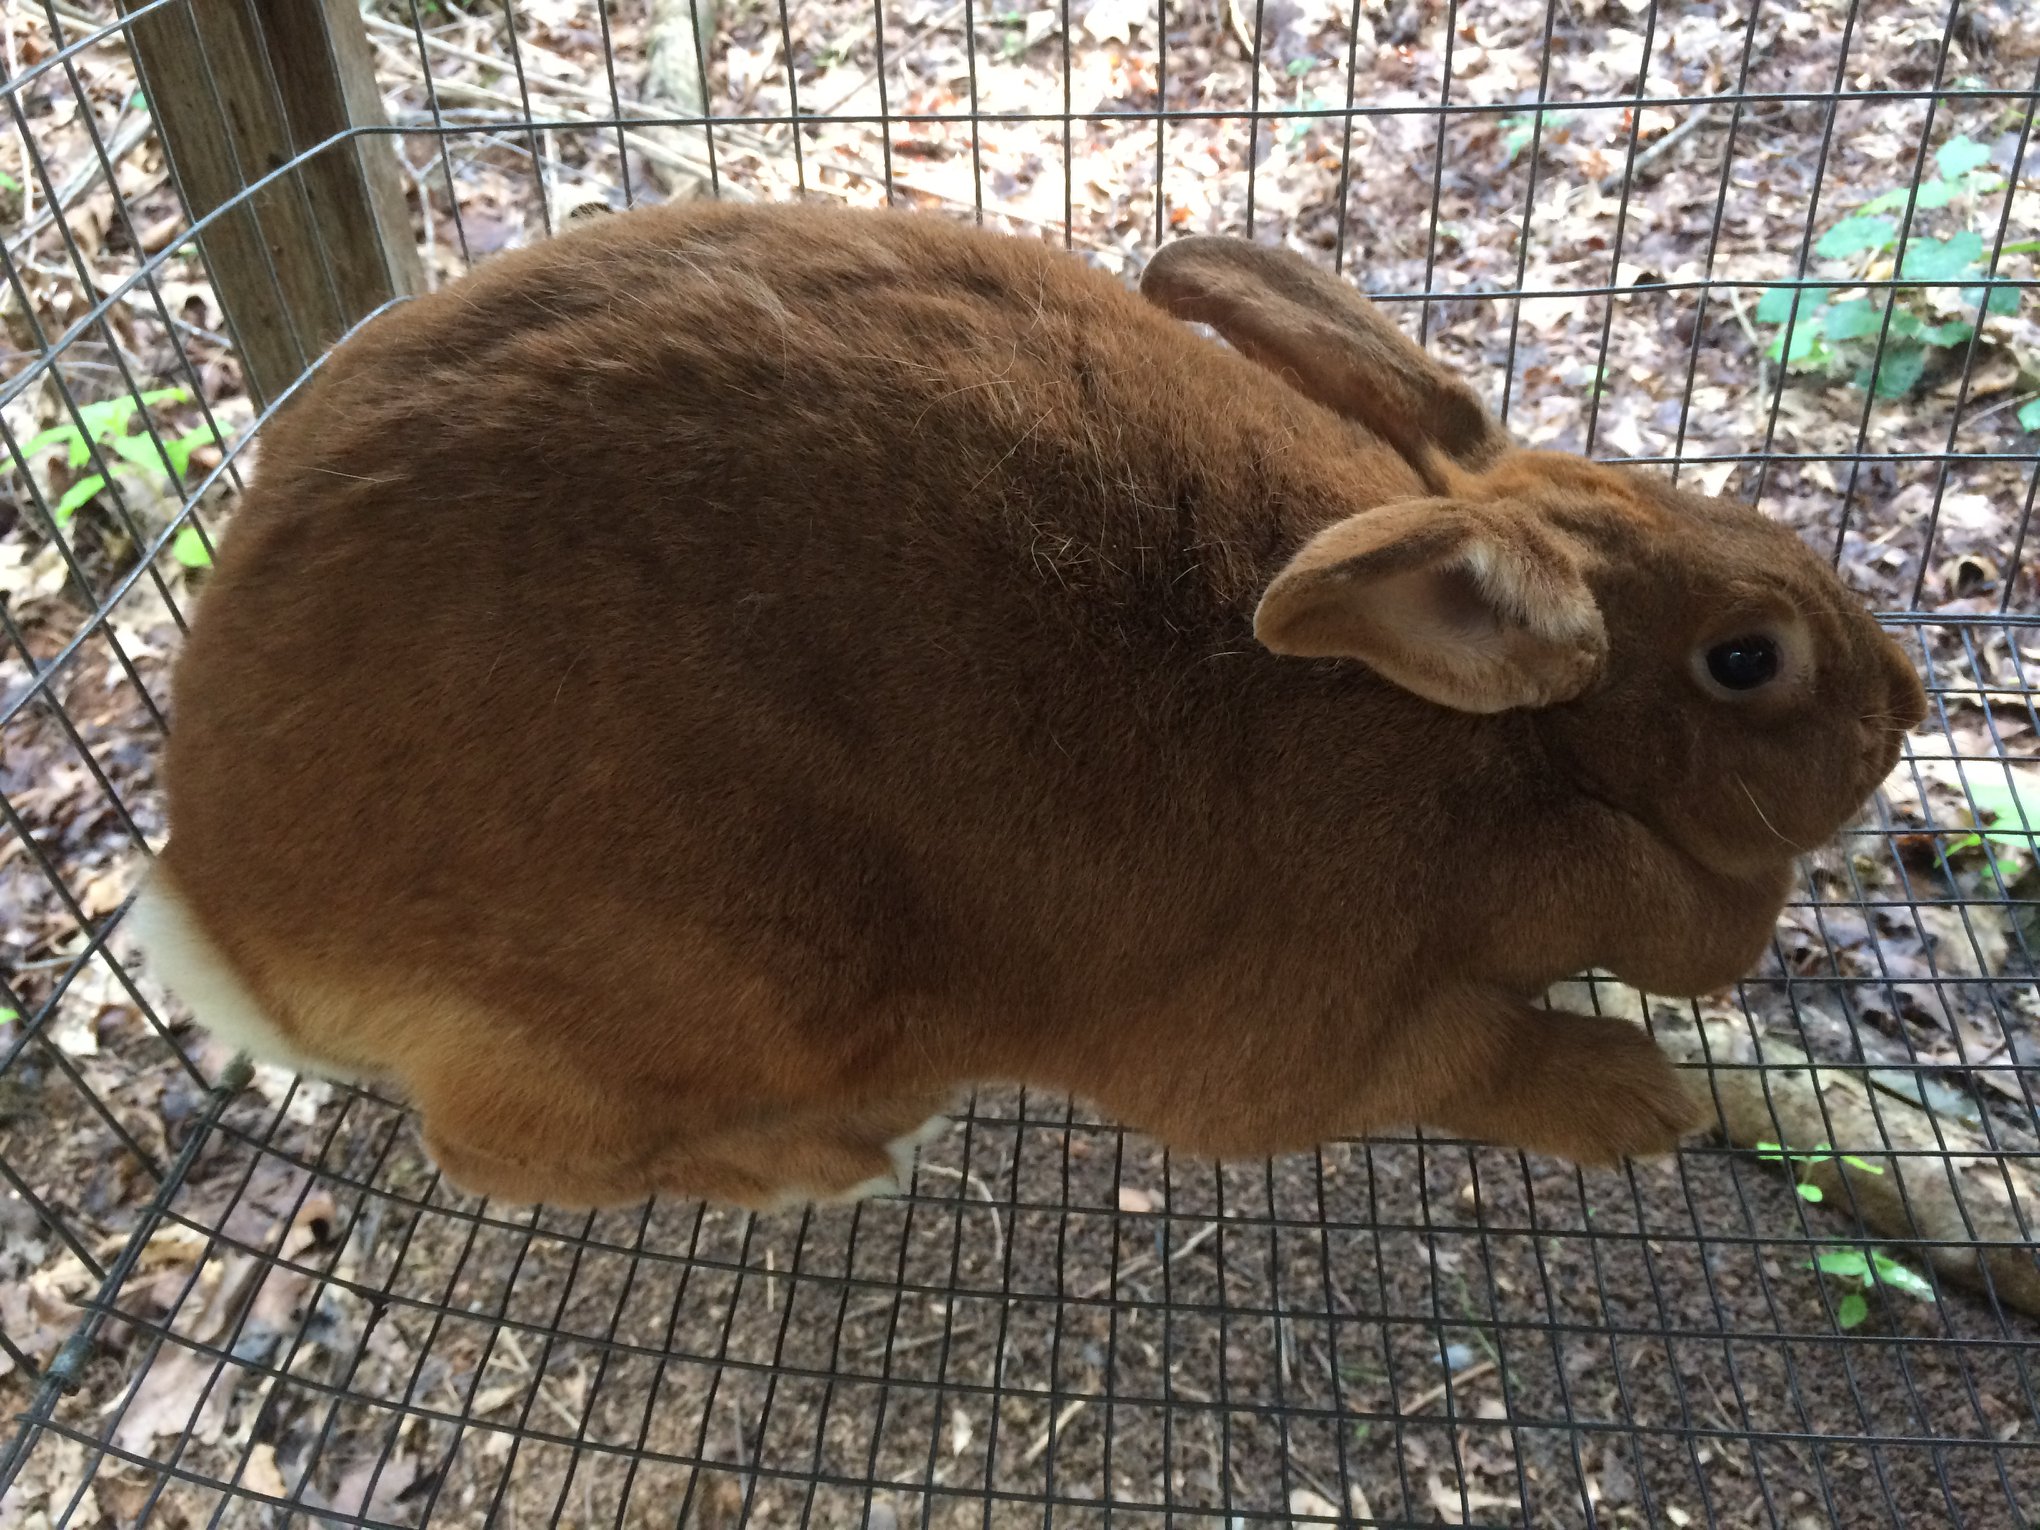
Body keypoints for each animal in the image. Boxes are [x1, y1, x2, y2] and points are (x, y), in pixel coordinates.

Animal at [128, 200, 1927, 1211]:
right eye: (1751, 659)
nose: (1906, 702)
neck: (1507, 742)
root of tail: (216, 906)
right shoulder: (1325, 1037)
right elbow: (1482, 1061)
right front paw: (1642, 1105)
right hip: (714, 984)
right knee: (498, 1154)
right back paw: (828, 1166)